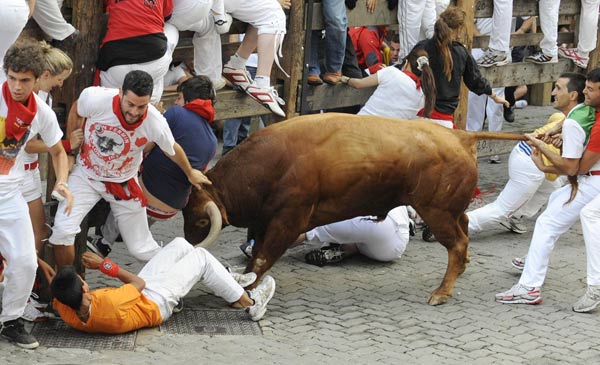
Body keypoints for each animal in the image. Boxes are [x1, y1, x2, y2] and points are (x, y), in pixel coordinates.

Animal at [183, 114, 524, 304]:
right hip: (449, 211)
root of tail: (459, 134)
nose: (188, 243)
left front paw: (247, 288)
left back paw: (441, 293)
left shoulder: (288, 221)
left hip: (436, 212)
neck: (273, 162)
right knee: (464, 226)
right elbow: (256, 254)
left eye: (200, 221)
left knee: (457, 243)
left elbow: (261, 259)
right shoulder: (265, 221)